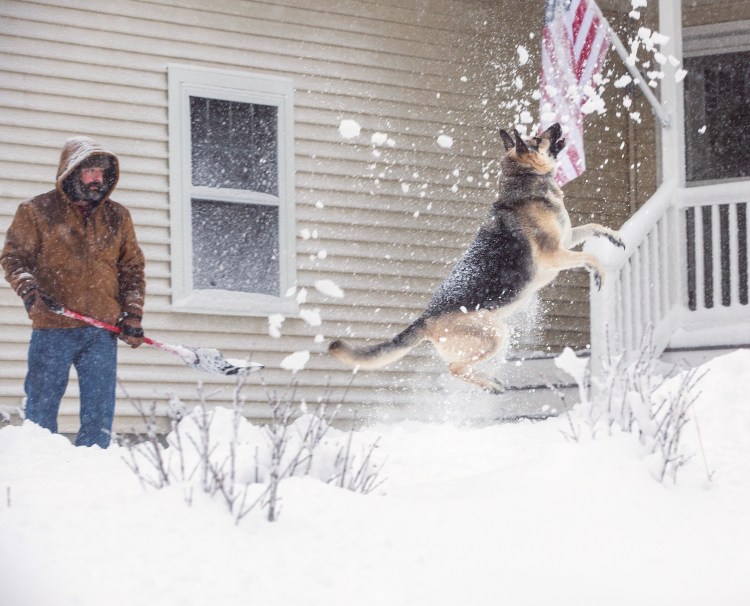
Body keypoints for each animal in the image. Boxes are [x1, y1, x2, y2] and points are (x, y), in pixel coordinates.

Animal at [328, 126, 628, 396]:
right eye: (536, 138)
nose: (555, 125)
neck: (524, 183)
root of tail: (425, 318)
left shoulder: (566, 241)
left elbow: (592, 227)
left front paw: (614, 236)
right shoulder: (553, 254)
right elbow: (590, 255)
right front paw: (599, 272)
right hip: (494, 333)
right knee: (455, 368)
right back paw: (489, 385)